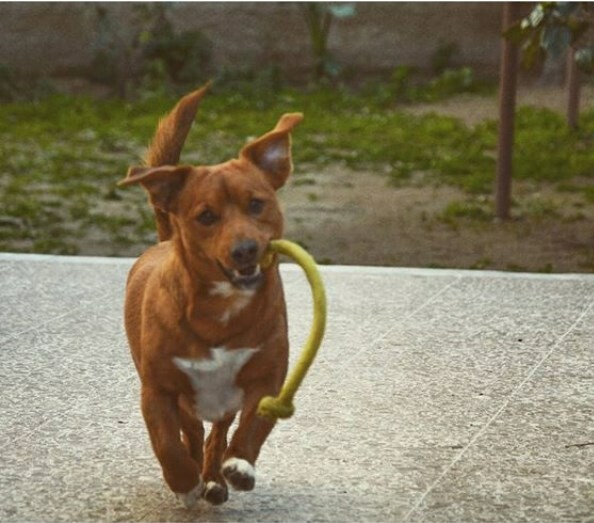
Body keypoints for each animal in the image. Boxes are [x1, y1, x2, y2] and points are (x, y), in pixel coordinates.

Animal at [119, 85, 302, 508]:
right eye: (206, 216)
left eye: (256, 203)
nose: (245, 250)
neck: (223, 307)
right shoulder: (158, 391)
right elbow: (167, 444)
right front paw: (184, 481)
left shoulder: (266, 379)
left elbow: (254, 427)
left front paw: (239, 466)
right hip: (186, 402)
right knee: (192, 434)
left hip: (221, 404)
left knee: (216, 435)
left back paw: (216, 477)